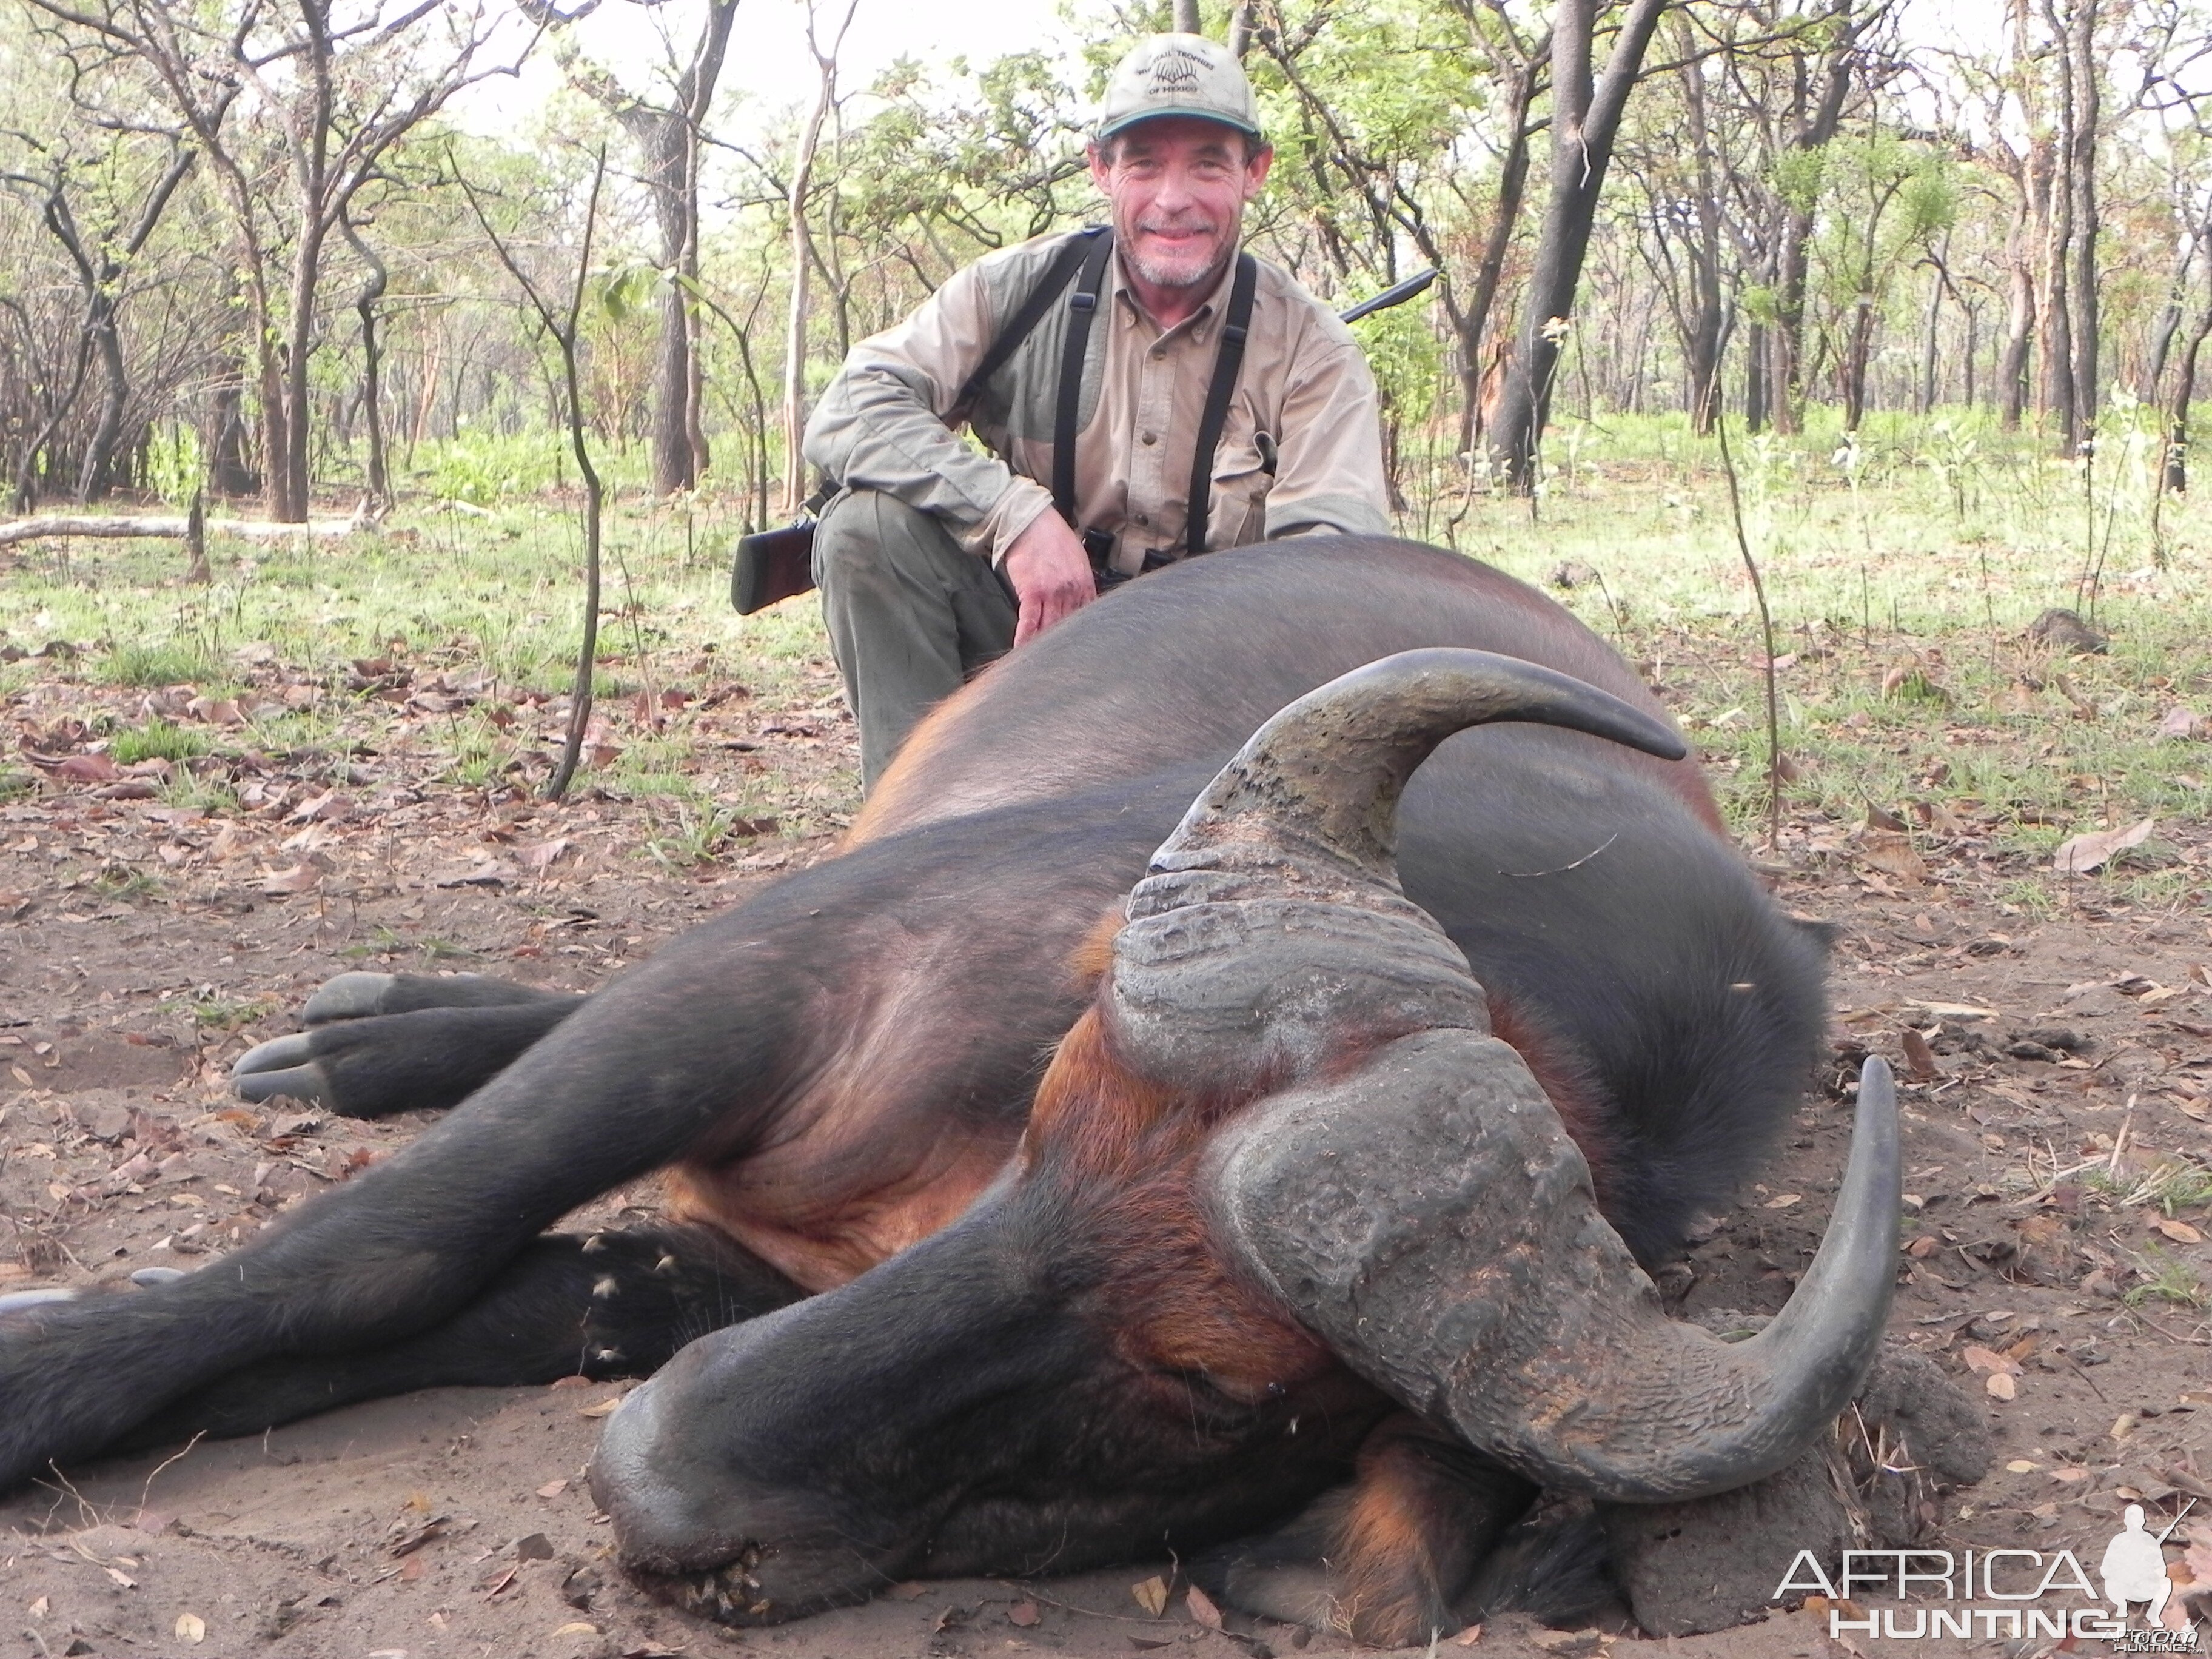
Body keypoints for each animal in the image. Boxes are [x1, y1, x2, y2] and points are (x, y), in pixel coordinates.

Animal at [0, 541, 1902, 1654]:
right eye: (1053, 1126)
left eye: (1216, 1385)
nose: (646, 1484)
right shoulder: (756, 987)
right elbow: (376, 1249)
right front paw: (44, 1364)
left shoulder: (736, 1276)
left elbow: (483, 1302)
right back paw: (362, 1036)